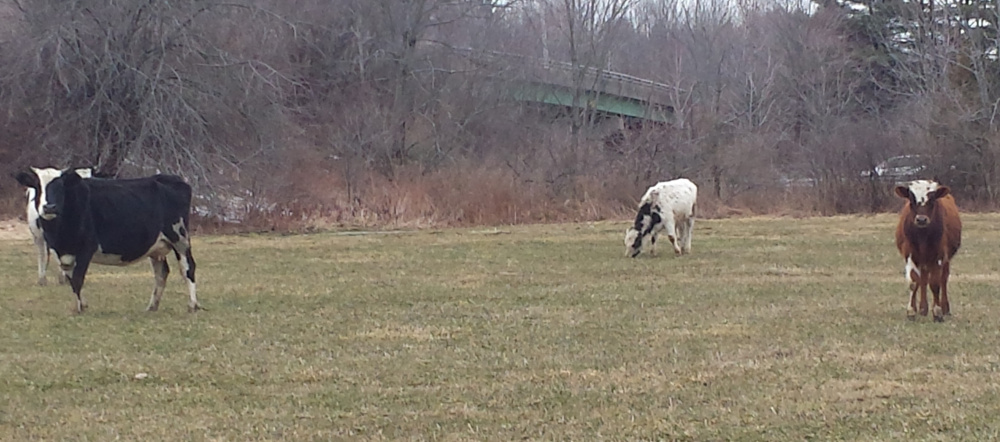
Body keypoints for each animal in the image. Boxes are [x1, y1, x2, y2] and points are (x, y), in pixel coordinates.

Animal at [26, 167, 199, 312]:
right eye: (38, 187)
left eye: (60, 186)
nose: (49, 207)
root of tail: (173, 179)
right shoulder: (62, 252)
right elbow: (71, 278)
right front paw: (81, 304)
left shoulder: (86, 248)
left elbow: (77, 278)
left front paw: (79, 309)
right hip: (156, 247)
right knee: (161, 273)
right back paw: (152, 306)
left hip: (180, 238)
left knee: (187, 267)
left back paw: (193, 305)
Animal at [900, 180, 960, 322]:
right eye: (911, 199)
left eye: (932, 199)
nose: (921, 219)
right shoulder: (910, 254)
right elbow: (914, 281)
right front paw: (911, 311)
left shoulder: (939, 256)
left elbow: (935, 283)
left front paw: (937, 312)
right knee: (923, 279)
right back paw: (922, 309)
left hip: (944, 260)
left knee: (943, 279)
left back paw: (945, 308)